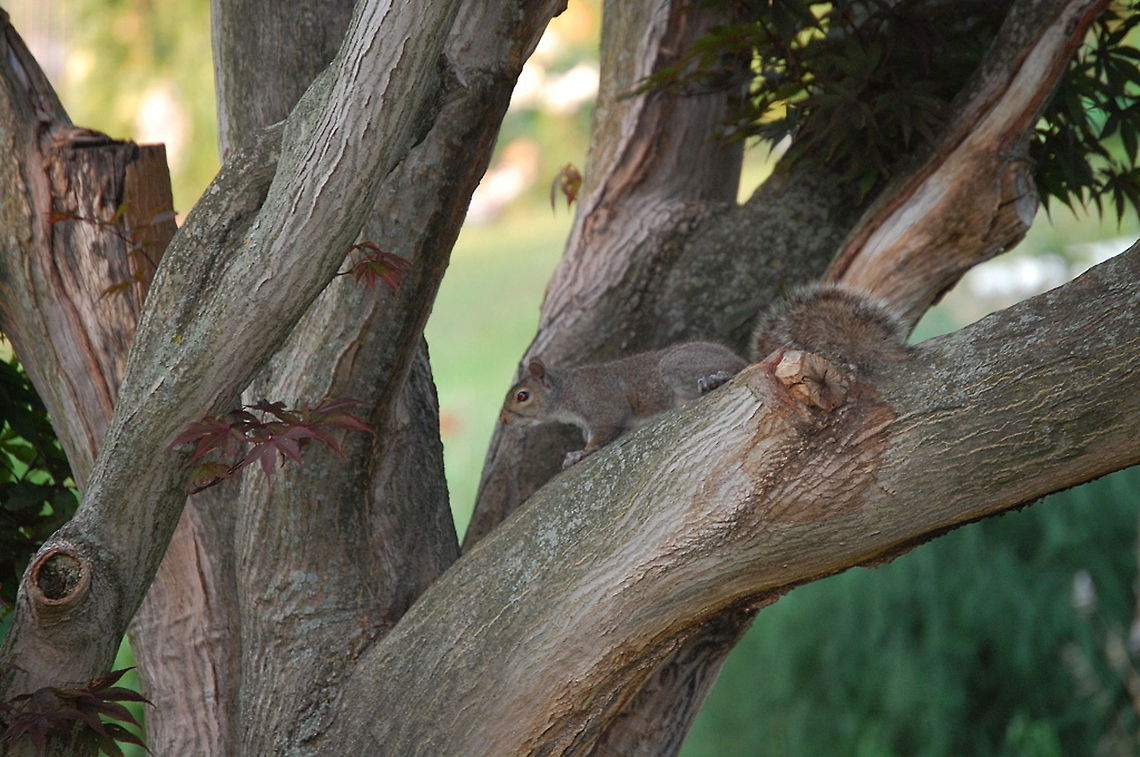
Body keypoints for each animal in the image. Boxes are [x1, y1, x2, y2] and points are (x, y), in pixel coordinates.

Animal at [501, 284, 907, 467]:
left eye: (522, 395)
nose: (504, 422)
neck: (566, 392)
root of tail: (744, 358)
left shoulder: (600, 405)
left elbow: (603, 431)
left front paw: (578, 454)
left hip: (676, 367)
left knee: (726, 374)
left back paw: (713, 380)